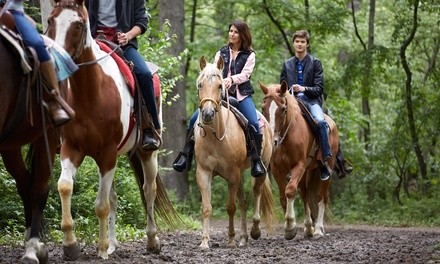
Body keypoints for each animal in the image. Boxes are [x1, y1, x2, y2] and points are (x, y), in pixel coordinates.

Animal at [46, 0, 180, 260]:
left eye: (79, 25)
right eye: (50, 20)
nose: (56, 62)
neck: (91, 92)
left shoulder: (106, 154)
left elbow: (101, 205)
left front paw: (100, 250)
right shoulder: (72, 149)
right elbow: (65, 186)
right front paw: (71, 246)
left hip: (147, 152)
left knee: (148, 190)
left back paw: (152, 241)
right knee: (115, 197)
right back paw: (113, 244)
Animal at [195, 55, 276, 250]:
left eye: (219, 86)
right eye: (200, 85)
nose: (207, 114)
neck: (215, 138)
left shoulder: (232, 174)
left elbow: (230, 207)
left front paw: (231, 240)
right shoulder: (204, 172)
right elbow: (207, 208)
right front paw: (205, 242)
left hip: (258, 169)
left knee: (256, 193)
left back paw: (254, 231)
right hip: (239, 176)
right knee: (244, 203)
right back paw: (244, 238)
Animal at [260, 80, 338, 239]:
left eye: (283, 109)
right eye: (263, 108)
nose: (273, 141)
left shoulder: (299, 165)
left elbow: (290, 191)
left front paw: (290, 226)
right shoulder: (277, 170)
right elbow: (283, 196)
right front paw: (290, 226)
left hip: (326, 169)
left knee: (322, 197)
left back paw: (318, 229)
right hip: (307, 172)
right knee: (305, 194)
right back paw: (309, 228)